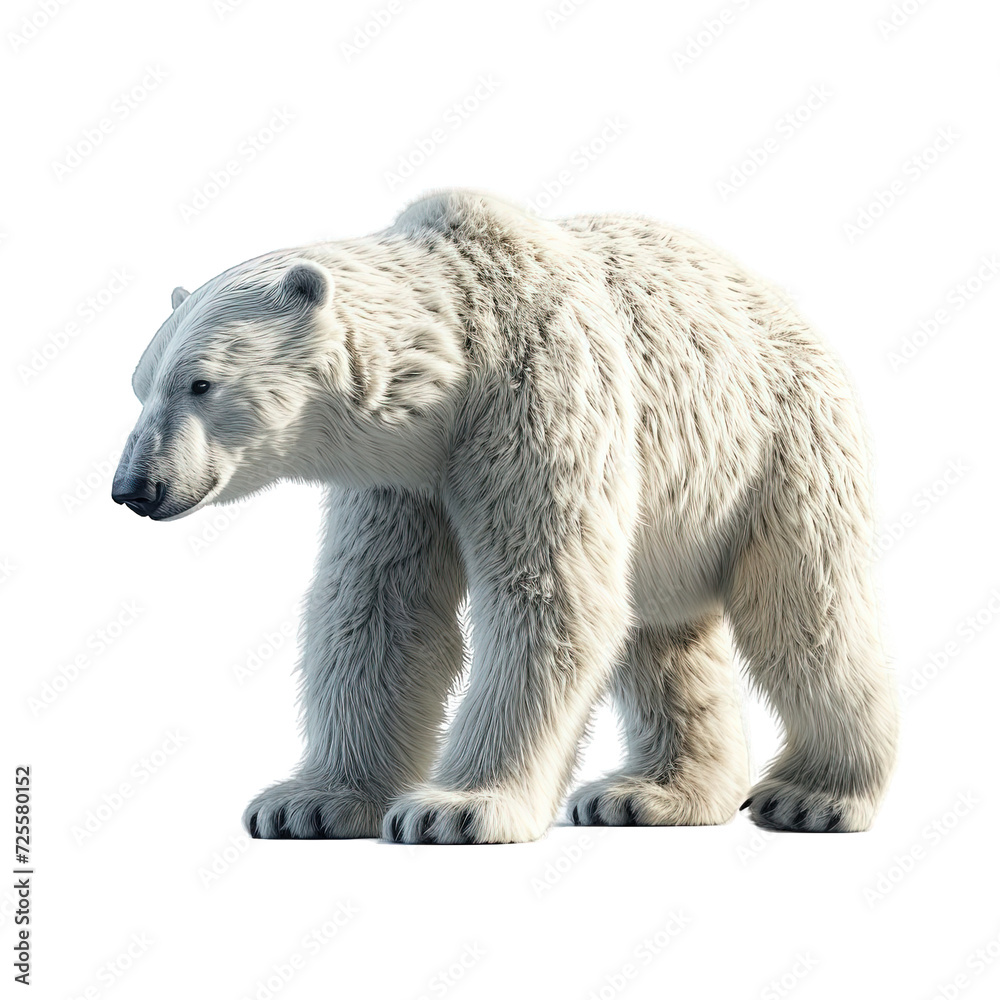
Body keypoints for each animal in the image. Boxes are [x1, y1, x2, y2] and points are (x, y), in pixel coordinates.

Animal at [113, 189, 898, 843]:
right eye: (140, 384)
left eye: (201, 383)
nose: (133, 487)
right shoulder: (404, 477)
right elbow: (379, 606)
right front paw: (306, 803)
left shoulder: (542, 389)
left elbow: (547, 592)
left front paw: (451, 810)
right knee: (663, 636)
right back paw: (646, 794)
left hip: (780, 447)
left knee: (804, 615)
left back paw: (815, 796)